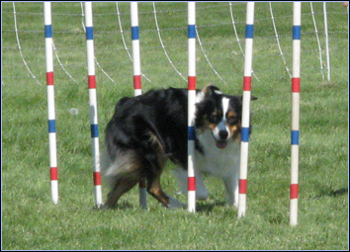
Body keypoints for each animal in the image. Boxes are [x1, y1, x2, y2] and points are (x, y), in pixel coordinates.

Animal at [101, 84, 258, 209]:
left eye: (233, 118)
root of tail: (123, 103)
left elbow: (234, 188)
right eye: (214, 116)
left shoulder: (228, 160)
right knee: (152, 186)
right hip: (152, 150)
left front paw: (237, 207)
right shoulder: (184, 157)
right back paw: (177, 205)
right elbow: (202, 192)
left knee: (117, 191)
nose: (223, 134)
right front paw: (191, 196)